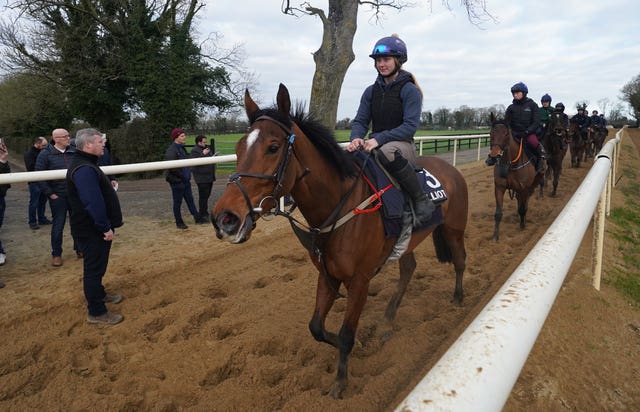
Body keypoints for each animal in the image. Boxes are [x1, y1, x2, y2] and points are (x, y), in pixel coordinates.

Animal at [212, 84, 468, 400]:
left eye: (273, 147)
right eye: (237, 148)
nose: (225, 218)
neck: (340, 204)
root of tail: (451, 169)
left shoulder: (359, 280)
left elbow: (346, 334)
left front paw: (340, 381)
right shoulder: (327, 274)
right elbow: (316, 327)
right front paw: (355, 344)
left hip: (454, 228)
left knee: (460, 260)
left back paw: (458, 299)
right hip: (406, 242)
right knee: (408, 269)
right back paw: (387, 321)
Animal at [488, 112, 544, 241]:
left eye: (506, 133)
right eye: (491, 133)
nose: (494, 156)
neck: (511, 164)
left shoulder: (524, 188)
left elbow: (522, 208)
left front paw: (522, 226)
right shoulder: (499, 187)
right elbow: (498, 214)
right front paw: (495, 236)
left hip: (535, 181)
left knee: (526, 200)